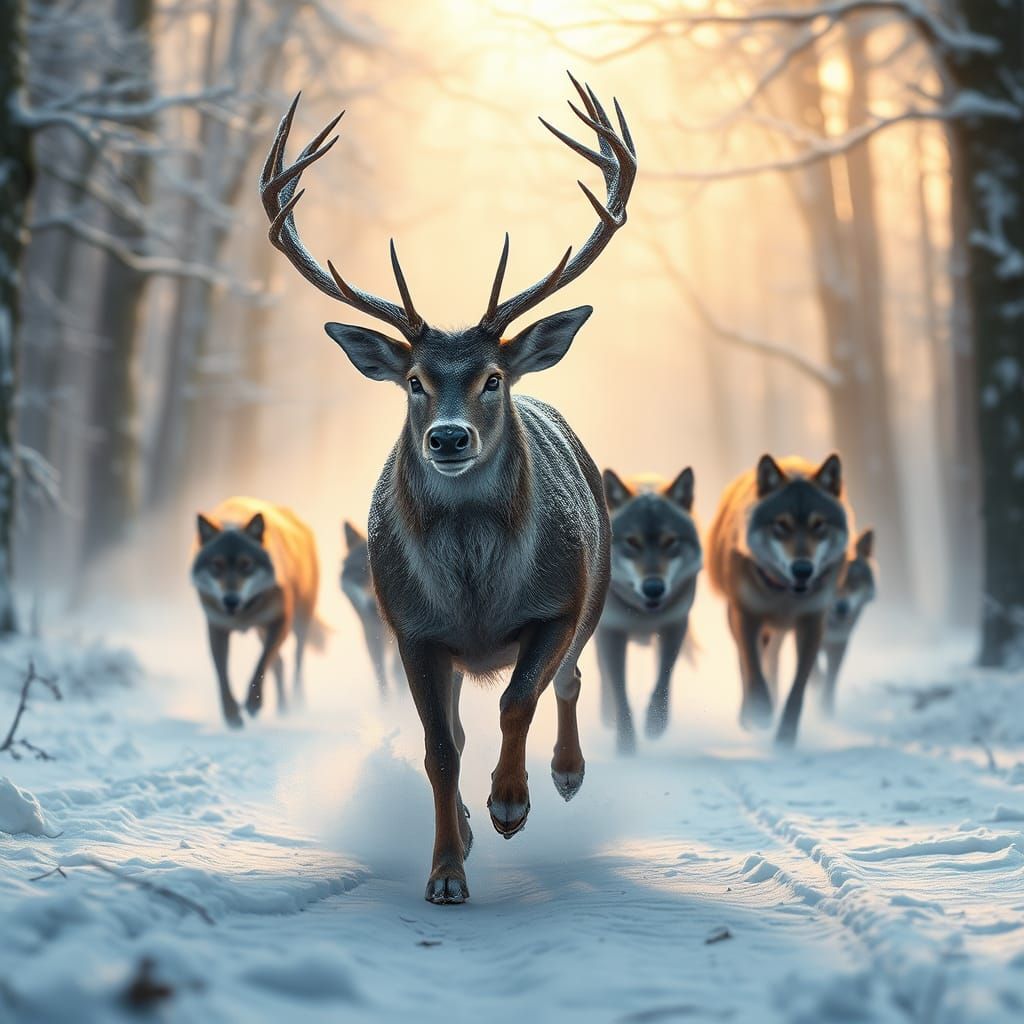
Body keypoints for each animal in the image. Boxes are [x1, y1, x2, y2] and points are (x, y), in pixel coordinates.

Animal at [191, 497, 322, 727]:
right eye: (217, 565)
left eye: (246, 564)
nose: (231, 600)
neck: (243, 614)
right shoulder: (216, 628)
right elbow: (222, 673)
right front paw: (231, 715)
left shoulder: (279, 622)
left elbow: (261, 665)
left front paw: (253, 703)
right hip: (262, 632)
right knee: (280, 664)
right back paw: (283, 710)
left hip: (298, 623)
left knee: (296, 661)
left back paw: (298, 704)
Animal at [259, 74, 636, 903]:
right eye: (413, 382)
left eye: (492, 377)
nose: (450, 438)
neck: (475, 594)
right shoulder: (412, 627)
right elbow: (439, 748)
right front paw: (446, 871)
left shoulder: (558, 600)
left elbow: (521, 697)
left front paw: (510, 803)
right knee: (462, 726)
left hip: (595, 587)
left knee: (569, 679)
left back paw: (562, 776)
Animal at [597, 468, 702, 754]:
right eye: (632, 542)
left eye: (670, 541)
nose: (653, 588)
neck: (641, 615)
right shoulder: (612, 633)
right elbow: (619, 689)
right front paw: (625, 744)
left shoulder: (674, 626)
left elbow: (664, 677)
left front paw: (656, 724)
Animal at [707, 454, 850, 745]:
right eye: (781, 525)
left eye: (818, 525)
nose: (802, 569)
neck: (785, 596)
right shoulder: (746, 616)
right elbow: (752, 668)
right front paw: (760, 713)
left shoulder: (812, 624)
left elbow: (798, 688)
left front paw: (785, 737)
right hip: (741, 621)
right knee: (747, 664)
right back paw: (749, 714)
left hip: (780, 631)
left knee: (771, 662)